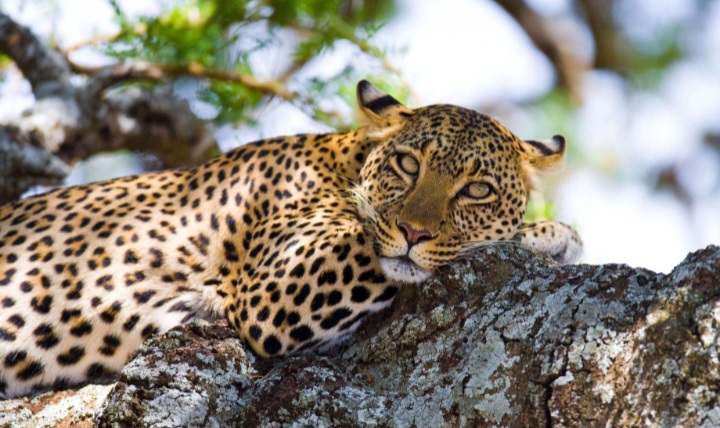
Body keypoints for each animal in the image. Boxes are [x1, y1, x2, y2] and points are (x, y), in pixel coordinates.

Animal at [0, 80, 581, 398]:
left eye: (477, 189)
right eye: (408, 164)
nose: (414, 231)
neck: (347, 160)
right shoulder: (276, 289)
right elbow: (381, 247)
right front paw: (546, 233)